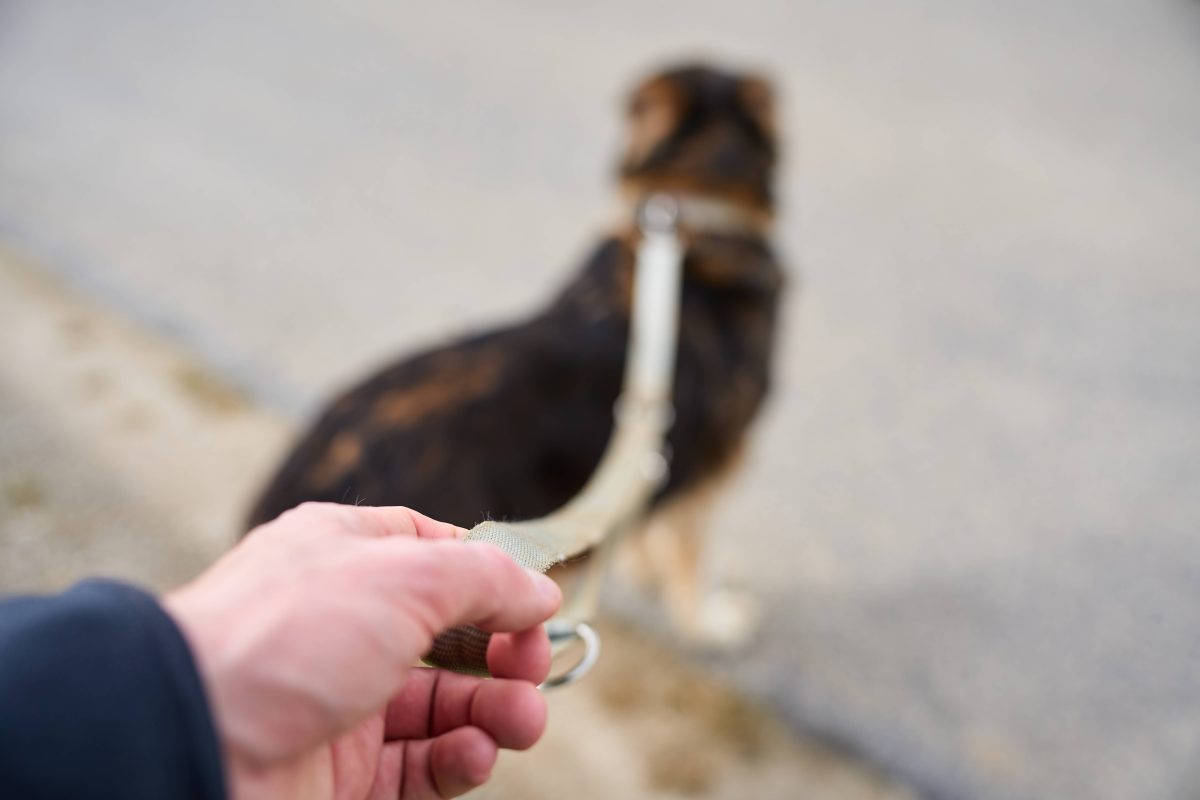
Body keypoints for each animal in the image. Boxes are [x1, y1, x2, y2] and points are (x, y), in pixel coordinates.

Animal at [246, 65, 787, 647]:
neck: (697, 216)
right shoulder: (715, 467)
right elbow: (690, 557)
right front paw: (711, 621)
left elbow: (643, 514)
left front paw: (641, 565)